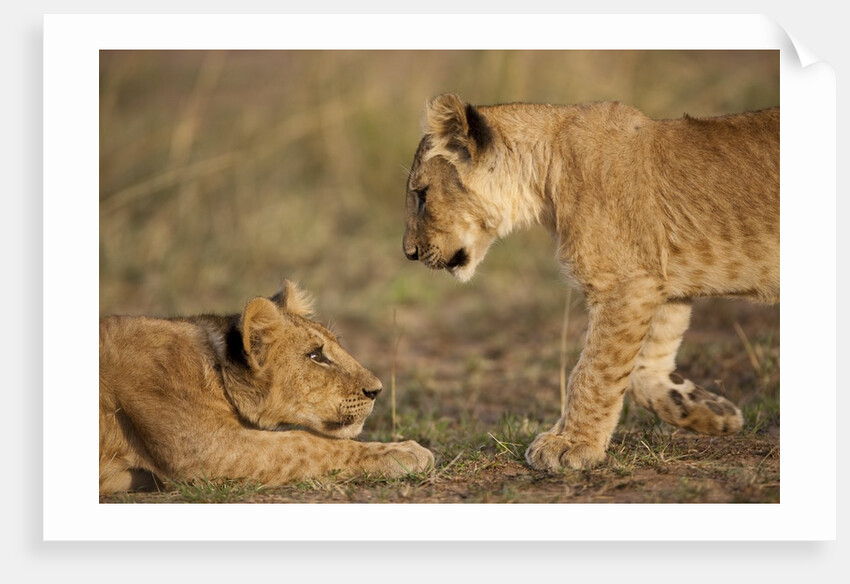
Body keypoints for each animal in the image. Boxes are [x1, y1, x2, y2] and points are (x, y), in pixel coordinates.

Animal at [99, 280, 434, 494]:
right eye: (316, 356)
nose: (377, 390)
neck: (217, 370)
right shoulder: (207, 450)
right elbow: (305, 443)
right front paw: (404, 451)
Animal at [402, 93, 778, 471]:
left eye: (422, 195)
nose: (409, 253)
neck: (545, 178)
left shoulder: (625, 282)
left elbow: (593, 370)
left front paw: (571, 444)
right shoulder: (660, 281)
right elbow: (643, 369)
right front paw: (711, 411)